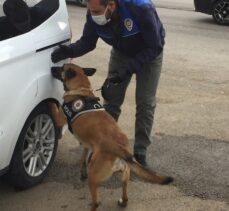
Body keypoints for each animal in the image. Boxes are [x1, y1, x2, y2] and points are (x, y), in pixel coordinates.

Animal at [49, 63, 173, 210]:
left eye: (61, 67)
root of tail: (120, 148)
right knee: (125, 194)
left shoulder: (59, 118)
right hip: (125, 174)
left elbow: (54, 106)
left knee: (96, 201)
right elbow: (83, 157)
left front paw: (49, 100)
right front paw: (82, 170)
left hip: (94, 175)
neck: (81, 89)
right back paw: (122, 202)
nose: (51, 68)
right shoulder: (86, 144)